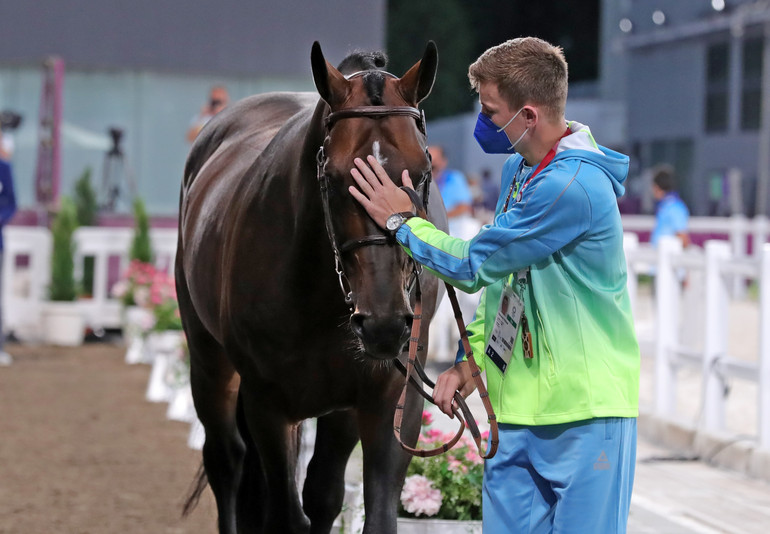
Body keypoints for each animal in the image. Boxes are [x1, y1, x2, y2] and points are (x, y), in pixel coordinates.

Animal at [176, 39, 444, 532]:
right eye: (335, 178)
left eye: (420, 173)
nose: (384, 324)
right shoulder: (267, 404)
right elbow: (284, 513)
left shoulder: (387, 399)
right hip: (208, 360)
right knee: (226, 461)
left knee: (321, 493)